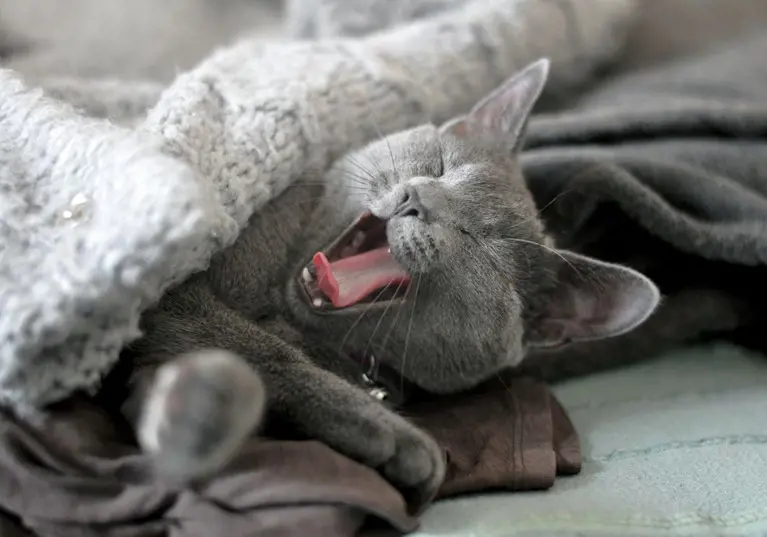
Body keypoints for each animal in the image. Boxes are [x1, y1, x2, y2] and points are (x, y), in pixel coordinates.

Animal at [121, 59, 664, 502]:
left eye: (480, 240)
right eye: (441, 164)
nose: (417, 198)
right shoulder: (174, 297)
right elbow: (260, 350)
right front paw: (393, 435)